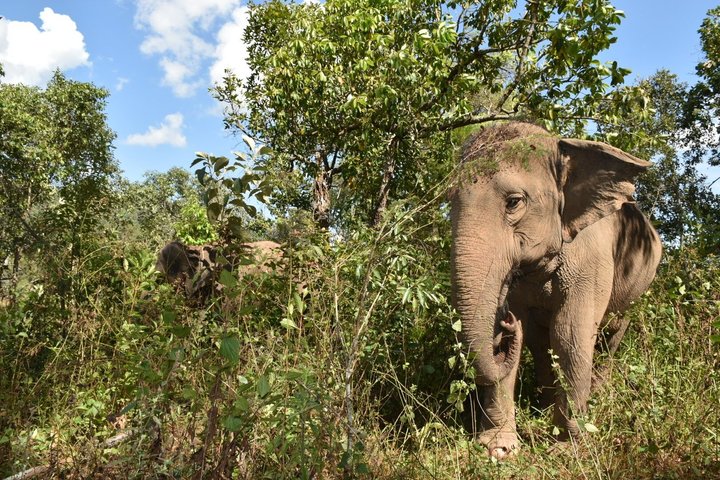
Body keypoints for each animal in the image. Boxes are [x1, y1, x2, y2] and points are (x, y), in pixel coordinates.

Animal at [450, 122, 662, 458]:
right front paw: (498, 448)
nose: (505, 318)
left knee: (612, 337)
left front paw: (566, 449)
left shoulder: (591, 260)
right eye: (449, 202)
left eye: (514, 202)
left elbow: (570, 333)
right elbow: (529, 335)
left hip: (639, 287)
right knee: (540, 340)